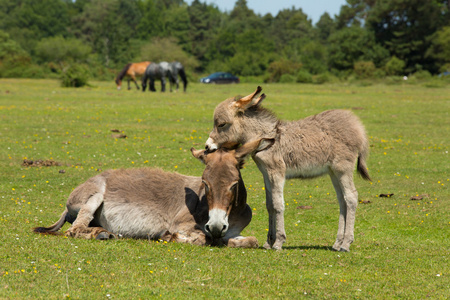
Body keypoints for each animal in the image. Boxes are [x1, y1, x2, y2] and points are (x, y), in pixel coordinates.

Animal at [32, 141, 264, 248]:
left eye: (234, 185)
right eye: (205, 184)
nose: (215, 226)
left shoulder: (232, 231)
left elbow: (251, 240)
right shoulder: (182, 223)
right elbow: (200, 238)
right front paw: (172, 237)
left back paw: (102, 232)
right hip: (94, 195)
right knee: (74, 229)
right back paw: (100, 233)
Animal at [206, 85, 370, 252]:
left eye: (221, 124)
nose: (207, 146)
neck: (267, 139)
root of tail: (358, 127)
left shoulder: (276, 172)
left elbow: (278, 204)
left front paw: (278, 242)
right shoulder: (266, 173)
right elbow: (270, 204)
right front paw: (268, 242)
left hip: (342, 168)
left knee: (351, 197)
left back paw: (346, 243)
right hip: (333, 172)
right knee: (342, 200)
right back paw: (337, 243)